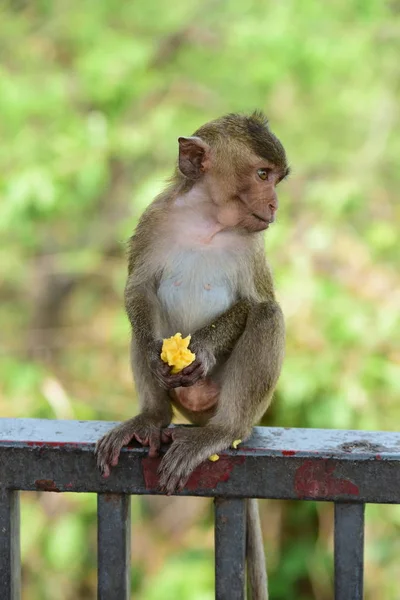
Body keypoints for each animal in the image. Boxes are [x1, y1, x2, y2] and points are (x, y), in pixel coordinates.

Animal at [94, 112, 288, 600]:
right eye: (263, 174)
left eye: (276, 178)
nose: (275, 205)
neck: (208, 221)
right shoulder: (154, 217)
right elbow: (138, 290)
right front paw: (154, 352)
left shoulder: (253, 245)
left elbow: (255, 304)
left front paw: (201, 347)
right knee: (142, 322)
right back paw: (151, 417)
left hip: (228, 398)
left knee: (268, 316)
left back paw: (223, 431)